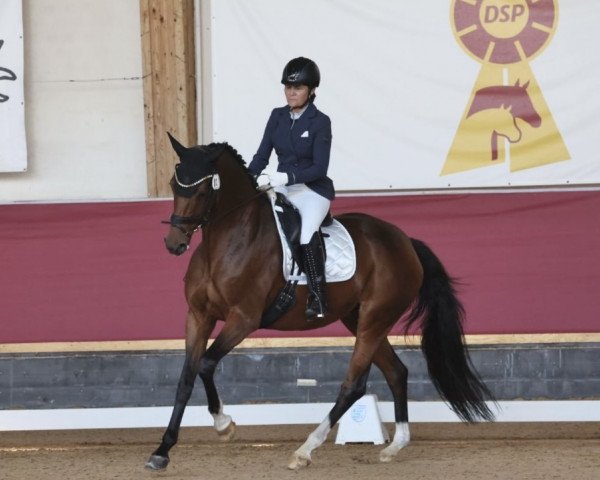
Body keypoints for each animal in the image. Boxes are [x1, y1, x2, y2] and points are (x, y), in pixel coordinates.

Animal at [144, 134, 492, 468]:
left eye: (203, 191)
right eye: (175, 184)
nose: (174, 244)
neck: (228, 240)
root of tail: (405, 242)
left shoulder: (243, 319)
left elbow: (206, 364)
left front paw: (224, 425)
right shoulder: (198, 316)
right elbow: (186, 378)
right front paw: (162, 451)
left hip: (375, 319)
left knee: (354, 385)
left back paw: (304, 451)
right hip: (360, 319)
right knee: (396, 372)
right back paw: (395, 447)